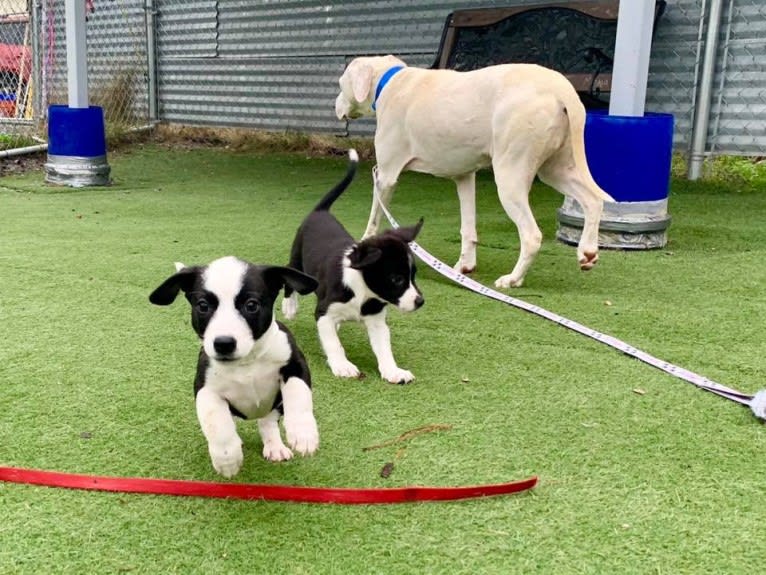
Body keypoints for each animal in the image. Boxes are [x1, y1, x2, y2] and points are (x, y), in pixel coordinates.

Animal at [152, 258, 320, 480]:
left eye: (251, 305)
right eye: (203, 305)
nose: (224, 343)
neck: (246, 361)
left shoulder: (295, 364)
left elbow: (298, 394)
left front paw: (303, 432)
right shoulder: (205, 389)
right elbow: (218, 425)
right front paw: (227, 459)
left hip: (276, 404)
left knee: (268, 421)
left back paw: (274, 446)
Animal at [282, 151, 426, 388]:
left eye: (413, 276)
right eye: (396, 279)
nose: (420, 301)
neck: (362, 292)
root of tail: (321, 211)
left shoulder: (377, 320)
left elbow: (384, 348)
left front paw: (393, 371)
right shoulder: (324, 311)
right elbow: (333, 343)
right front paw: (343, 366)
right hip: (299, 262)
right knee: (289, 273)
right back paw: (289, 307)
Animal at [336, 55, 616, 288]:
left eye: (340, 83)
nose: (335, 106)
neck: (388, 81)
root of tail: (560, 88)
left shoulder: (386, 176)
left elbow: (374, 217)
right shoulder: (464, 176)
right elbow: (468, 226)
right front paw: (464, 266)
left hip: (510, 177)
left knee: (532, 235)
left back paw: (512, 279)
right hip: (556, 169)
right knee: (593, 201)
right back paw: (587, 252)